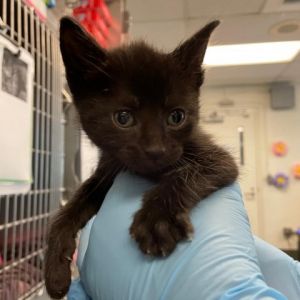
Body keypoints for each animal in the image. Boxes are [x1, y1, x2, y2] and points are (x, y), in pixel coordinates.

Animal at [44, 17, 238, 298]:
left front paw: (158, 220)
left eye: (176, 117)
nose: (155, 150)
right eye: (123, 118)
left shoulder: (218, 157)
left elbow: (189, 172)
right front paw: (56, 268)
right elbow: (73, 205)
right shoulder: (108, 171)